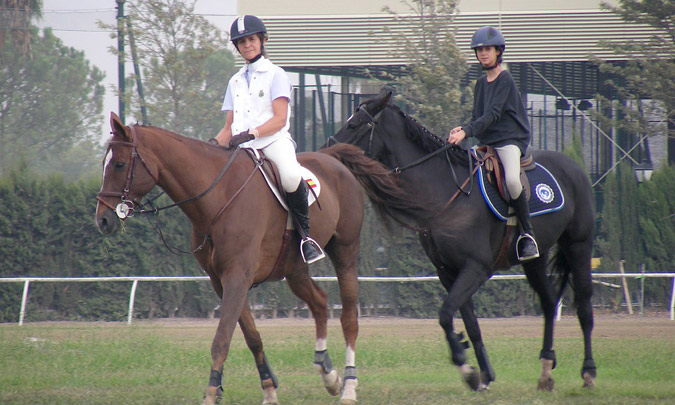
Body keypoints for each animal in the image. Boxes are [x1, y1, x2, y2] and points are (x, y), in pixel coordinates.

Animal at [95, 112, 414, 404]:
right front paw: (269, 389)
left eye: (119, 164)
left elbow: (222, 340)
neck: (218, 196)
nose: (103, 220)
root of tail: (331, 158)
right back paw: (328, 373)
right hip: (294, 270)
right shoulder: (222, 281)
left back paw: (348, 385)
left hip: (346, 251)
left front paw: (211, 393)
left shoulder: (237, 277)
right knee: (320, 302)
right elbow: (251, 336)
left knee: (349, 317)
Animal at [330, 87, 600, 392]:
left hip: (578, 246)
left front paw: (466, 367)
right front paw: (482, 374)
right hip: (535, 260)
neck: (446, 192)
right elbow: (469, 322)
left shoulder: (475, 268)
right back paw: (545, 371)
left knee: (584, 307)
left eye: (354, 124)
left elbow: (446, 314)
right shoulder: (449, 272)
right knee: (548, 301)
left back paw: (588, 372)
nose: (328, 148)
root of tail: (575, 167)